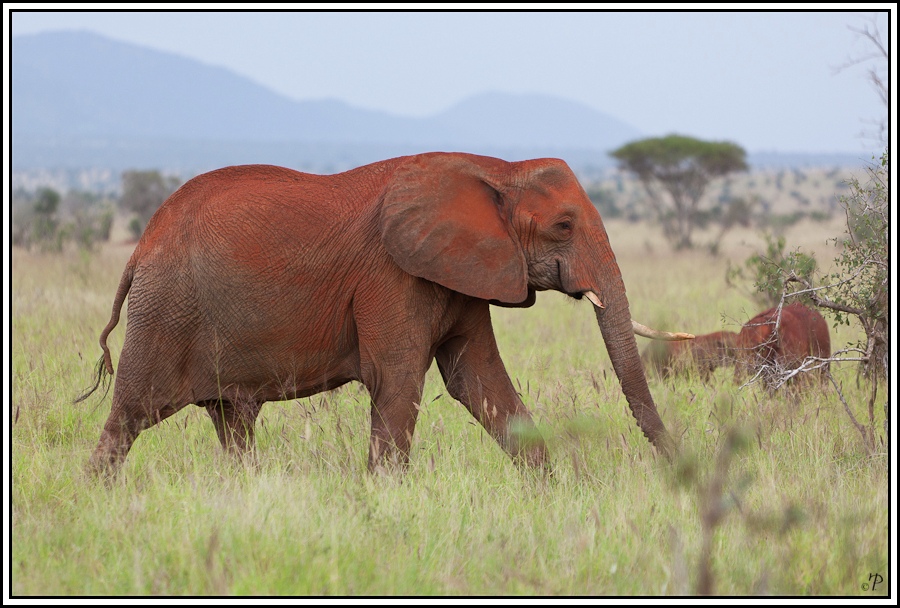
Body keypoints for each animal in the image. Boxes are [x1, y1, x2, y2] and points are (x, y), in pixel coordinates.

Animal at [79, 150, 696, 478]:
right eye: (564, 225)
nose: (676, 467)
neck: (494, 168)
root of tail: (139, 247)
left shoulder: (461, 270)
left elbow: (480, 381)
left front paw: (551, 492)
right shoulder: (392, 276)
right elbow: (397, 381)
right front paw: (384, 500)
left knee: (232, 423)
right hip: (165, 310)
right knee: (129, 415)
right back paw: (97, 496)